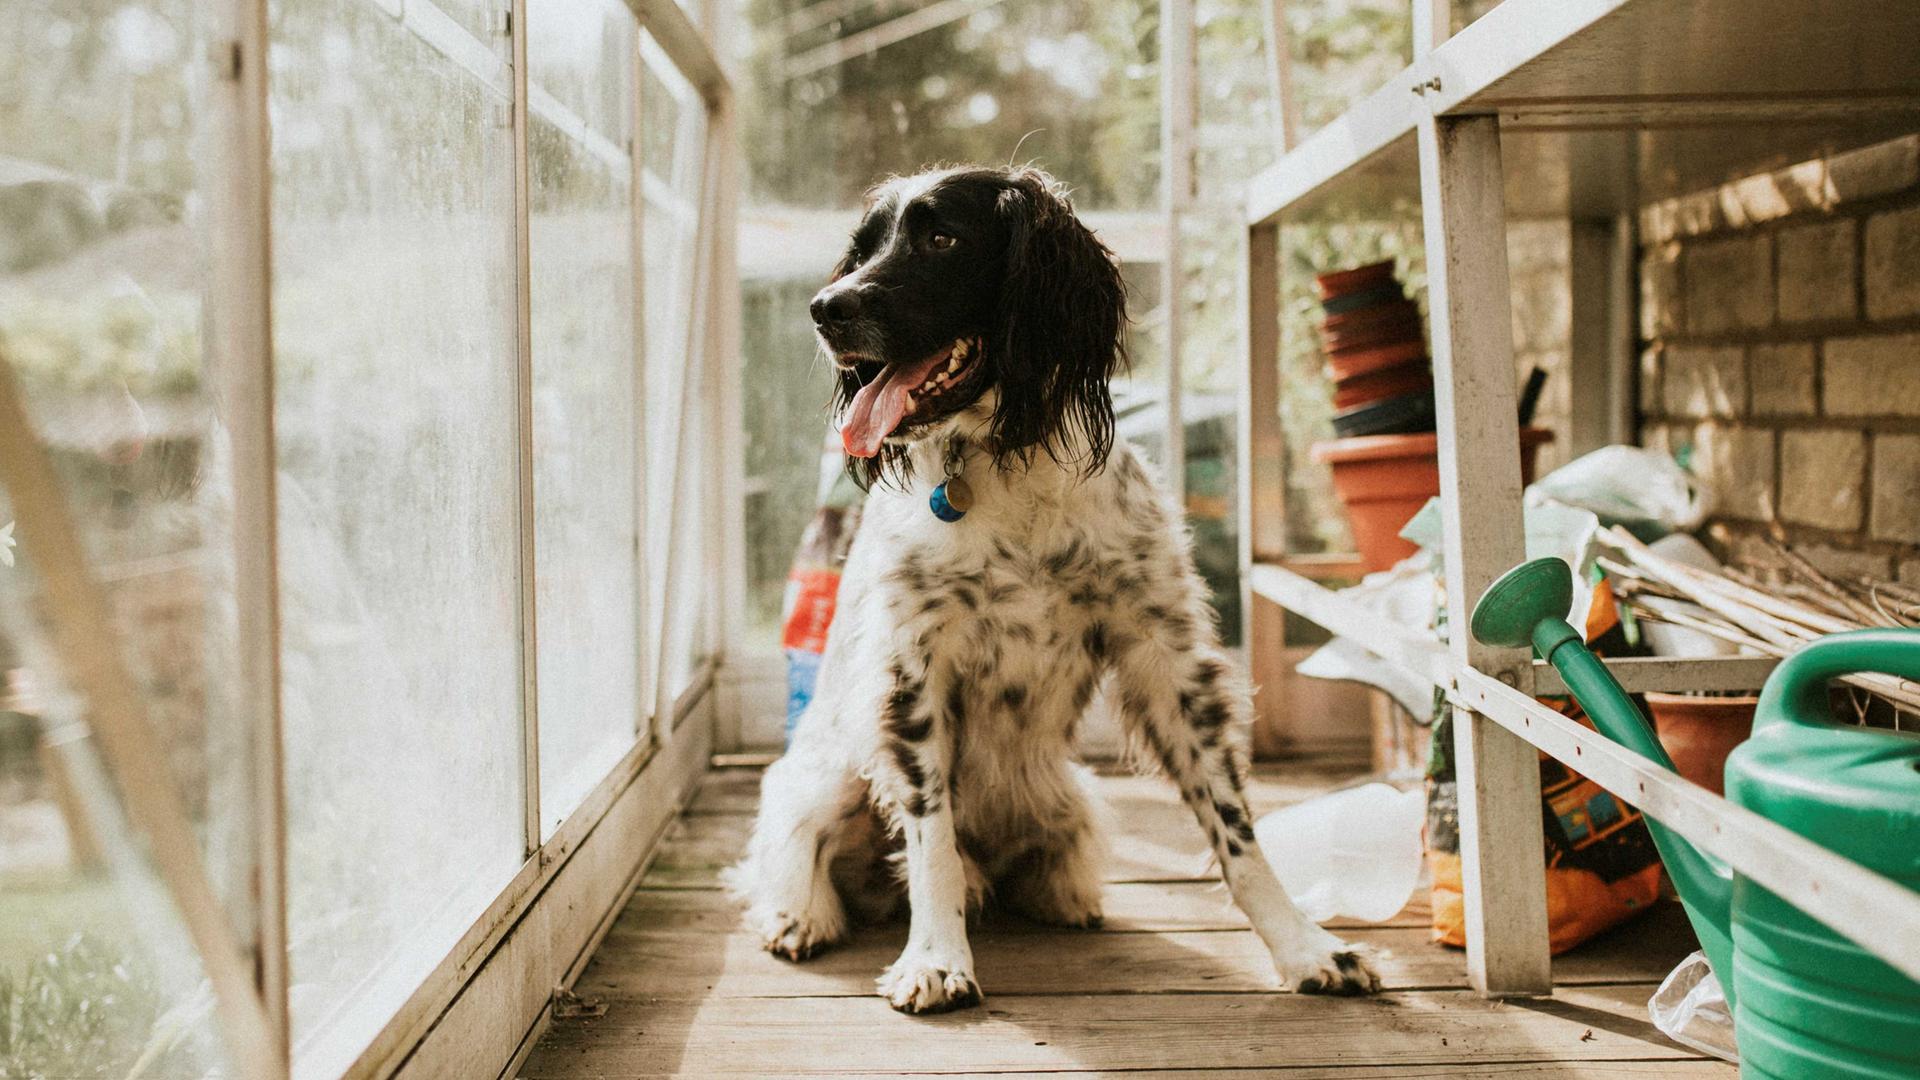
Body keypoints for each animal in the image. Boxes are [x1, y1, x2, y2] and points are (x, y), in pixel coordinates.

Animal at [721, 166, 1382, 1006]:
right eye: (862, 249)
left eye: (943, 237)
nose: (825, 307)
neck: (1006, 466)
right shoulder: (912, 675)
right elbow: (931, 838)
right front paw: (936, 958)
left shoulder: (1165, 660)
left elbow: (1235, 828)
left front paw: (1305, 946)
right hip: (830, 773)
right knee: (805, 850)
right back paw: (799, 916)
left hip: (1072, 798)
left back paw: (1063, 899)